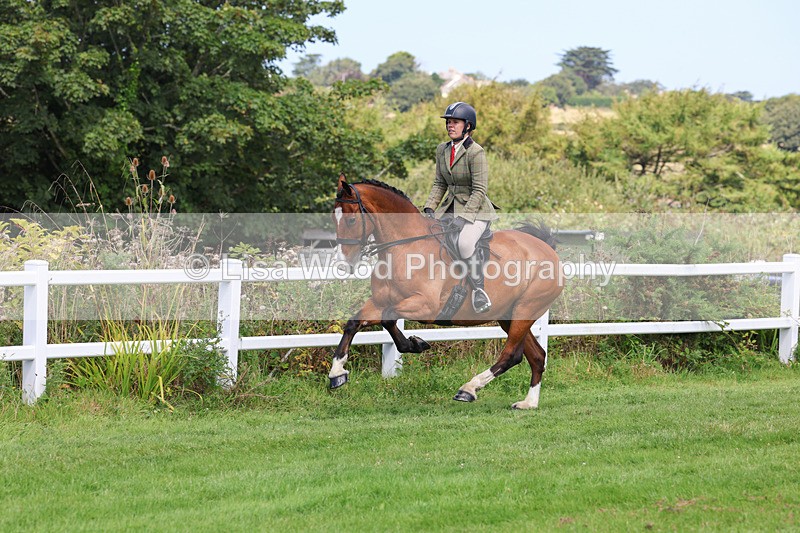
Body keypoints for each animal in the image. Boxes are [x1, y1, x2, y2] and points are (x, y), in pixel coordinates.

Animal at [330, 174, 563, 409]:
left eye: (351, 220)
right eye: (334, 218)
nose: (342, 265)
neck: (404, 248)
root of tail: (548, 248)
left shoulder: (425, 306)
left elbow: (388, 318)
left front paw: (415, 344)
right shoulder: (379, 301)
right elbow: (354, 323)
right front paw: (337, 373)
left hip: (527, 308)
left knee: (512, 354)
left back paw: (468, 389)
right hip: (508, 314)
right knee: (537, 356)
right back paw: (528, 403)